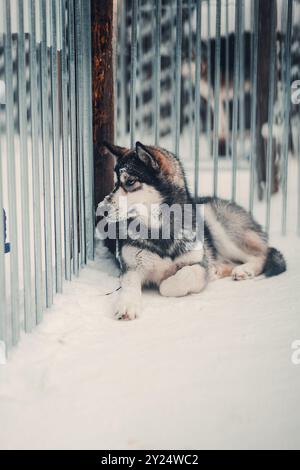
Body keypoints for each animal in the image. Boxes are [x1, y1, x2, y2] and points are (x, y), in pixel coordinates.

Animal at [98, 141, 286, 322]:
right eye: (115, 183)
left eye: (130, 182)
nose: (101, 210)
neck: (160, 230)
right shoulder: (131, 268)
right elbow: (129, 287)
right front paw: (127, 305)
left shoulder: (198, 264)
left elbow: (180, 279)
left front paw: (168, 282)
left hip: (218, 225)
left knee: (262, 254)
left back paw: (243, 270)